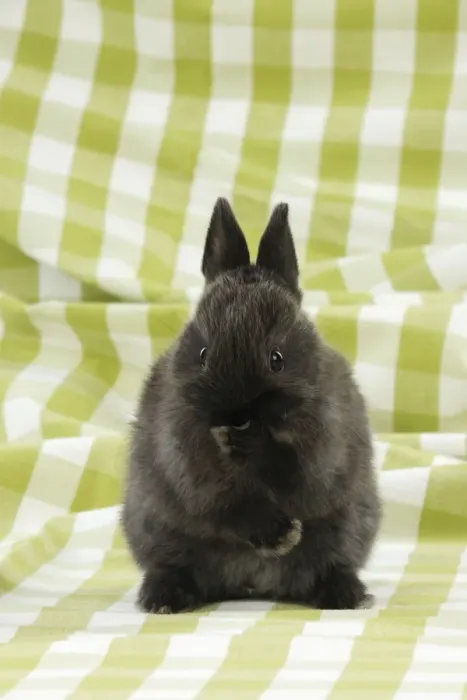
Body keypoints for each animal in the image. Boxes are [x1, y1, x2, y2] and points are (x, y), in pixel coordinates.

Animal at [122, 198, 381, 614]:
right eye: (203, 354)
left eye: (277, 359)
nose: (234, 415)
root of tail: (250, 584)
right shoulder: (185, 460)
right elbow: (225, 503)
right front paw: (277, 535)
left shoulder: (328, 443)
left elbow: (296, 474)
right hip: (156, 529)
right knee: (173, 565)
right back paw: (164, 598)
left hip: (347, 526)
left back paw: (343, 594)